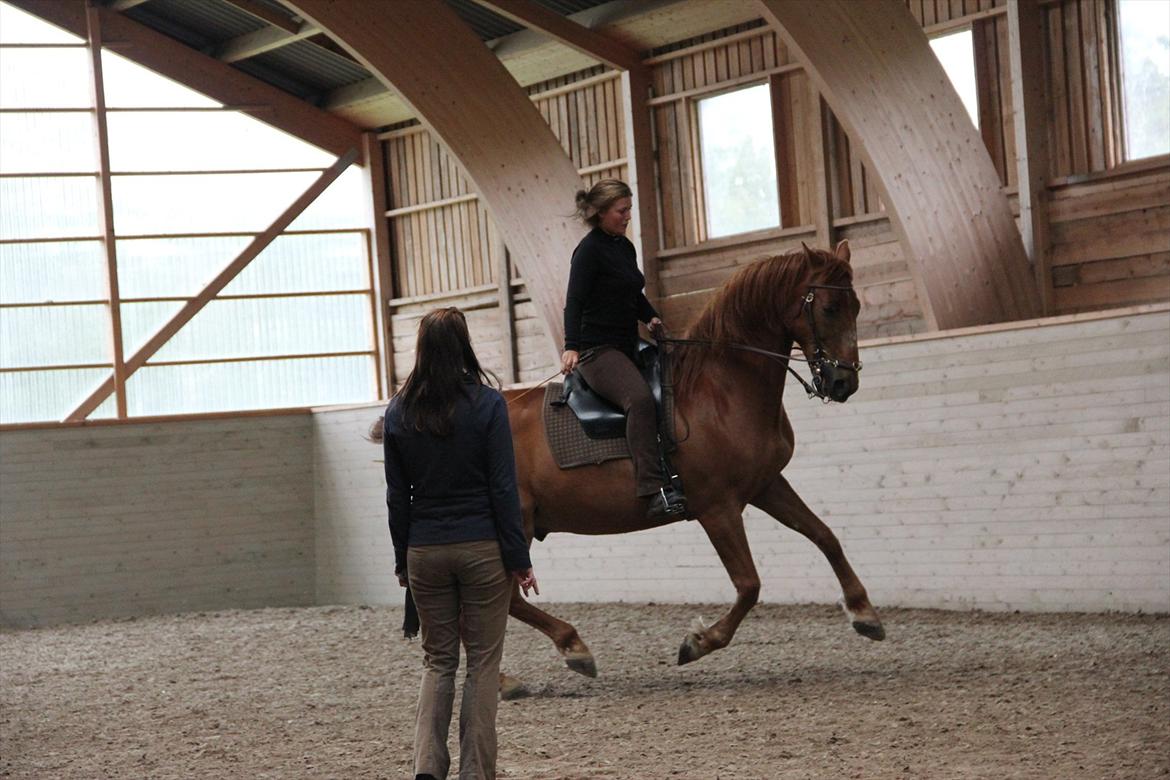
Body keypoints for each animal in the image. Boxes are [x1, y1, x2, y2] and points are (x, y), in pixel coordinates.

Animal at [369, 240, 879, 678]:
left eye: (856, 306)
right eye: (828, 308)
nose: (844, 383)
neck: (721, 387)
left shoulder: (767, 485)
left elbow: (825, 536)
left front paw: (864, 612)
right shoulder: (717, 508)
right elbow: (749, 584)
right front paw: (698, 642)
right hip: (509, 525)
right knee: (498, 601)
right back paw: (566, 651)